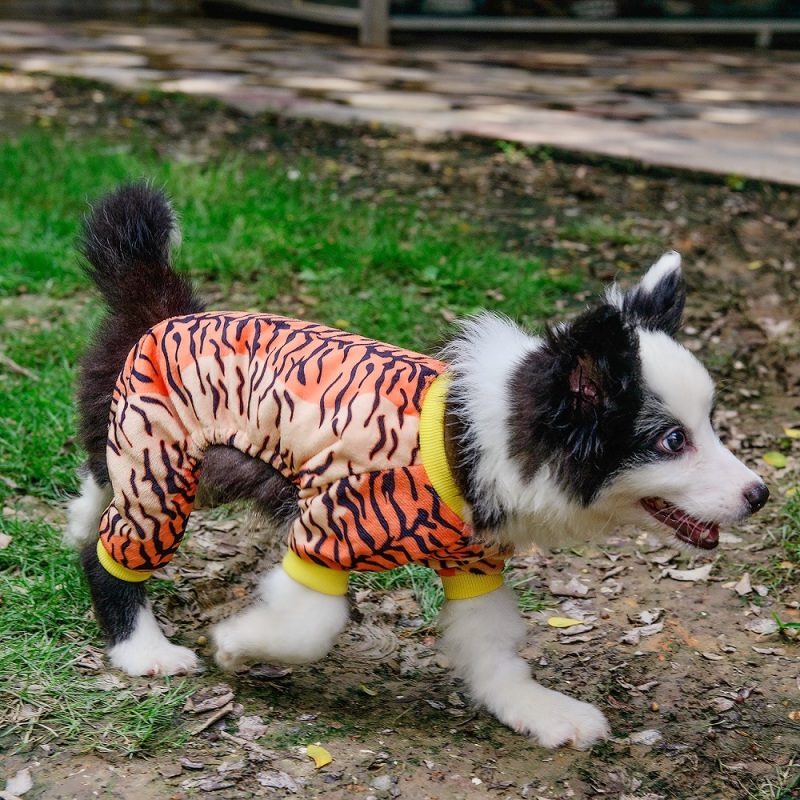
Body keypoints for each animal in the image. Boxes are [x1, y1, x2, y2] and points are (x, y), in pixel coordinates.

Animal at [67, 183, 768, 752]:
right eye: (673, 440)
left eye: (709, 422)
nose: (759, 493)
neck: (469, 440)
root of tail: (167, 309)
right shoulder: (326, 526)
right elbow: (312, 624)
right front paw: (238, 643)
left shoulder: (473, 563)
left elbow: (492, 648)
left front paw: (539, 710)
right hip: (162, 463)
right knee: (116, 552)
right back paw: (142, 648)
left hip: (167, 459)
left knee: (99, 492)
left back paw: (78, 523)